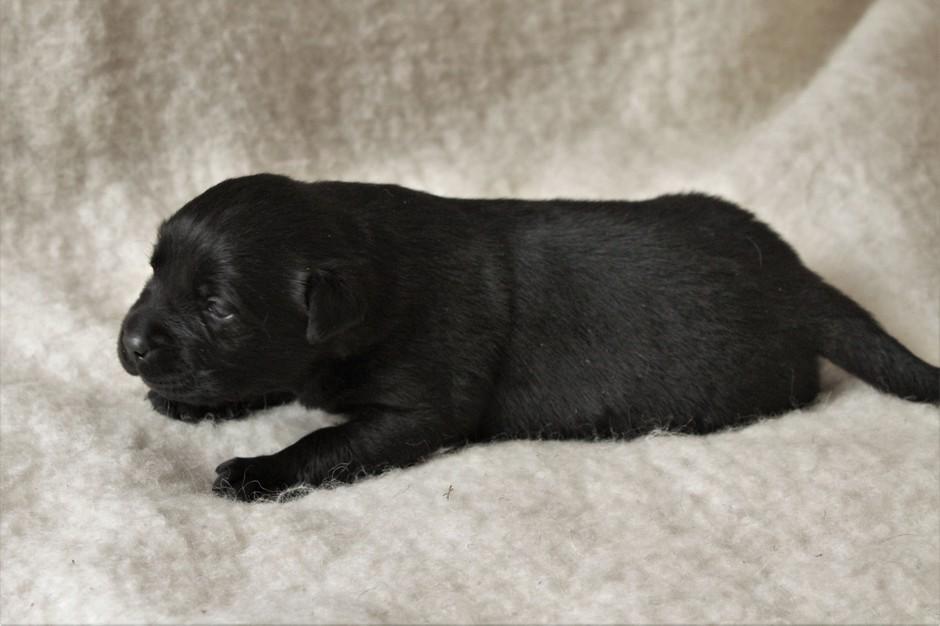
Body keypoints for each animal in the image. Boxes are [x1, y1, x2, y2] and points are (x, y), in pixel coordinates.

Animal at [118, 174, 940, 501]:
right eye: (153, 269)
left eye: (219, 307)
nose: (129, 345)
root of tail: (798, 279)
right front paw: (197, 404)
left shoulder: (422, 409)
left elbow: (326, 441)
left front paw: (258, 472)